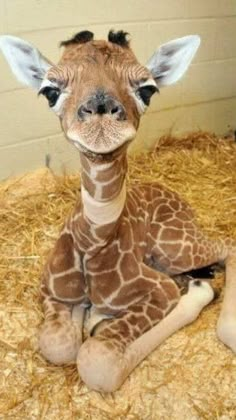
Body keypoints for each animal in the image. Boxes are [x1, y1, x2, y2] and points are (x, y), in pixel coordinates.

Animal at [0, 30, 235, 394]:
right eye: (50, 90)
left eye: (147, 88)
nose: (100, 116)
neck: (92, 242)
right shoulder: (51, 291)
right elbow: (59, 345)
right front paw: (87, 315)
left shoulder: (159, 289)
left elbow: (96, 361)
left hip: (174, 248)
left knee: (228, 248)